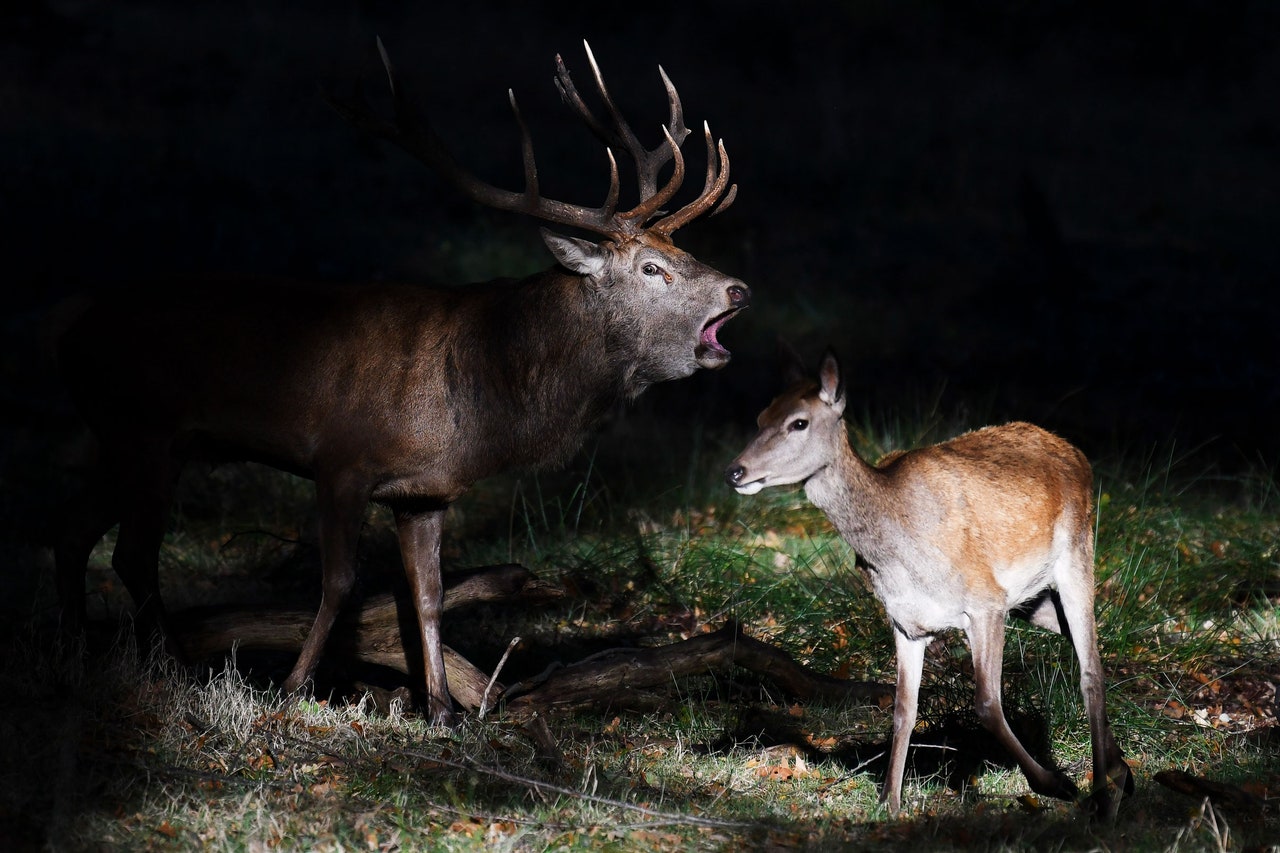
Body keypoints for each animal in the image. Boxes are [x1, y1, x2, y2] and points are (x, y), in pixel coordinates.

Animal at [52, 41, 747, 722]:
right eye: (652, 267)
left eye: (683, 254)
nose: (738, 289)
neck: (476, 401)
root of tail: (73, 336)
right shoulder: (341, 460)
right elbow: (339, 583)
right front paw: (294, 686)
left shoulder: (426, 492)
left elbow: (429, 593)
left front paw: (440, 709)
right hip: (144, 430)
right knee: (131, 552)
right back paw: (169, 666)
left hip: (135, 441)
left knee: (74, 530)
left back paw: (78, 651)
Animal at [727, 348, 1136, 819]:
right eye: (760, 416)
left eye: (799, 422)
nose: (735, 471)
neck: (898, 549)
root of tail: (1077, 454)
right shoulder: (907, 622)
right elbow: (904, 710)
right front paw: (890, 802)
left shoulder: (985, 600)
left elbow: (987, 703)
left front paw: (1054, 783)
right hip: (1033, 603)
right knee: (1080, 647)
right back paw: (1122, 776)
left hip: (1076, 554)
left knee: (1090, 670)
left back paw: (1103, 795)